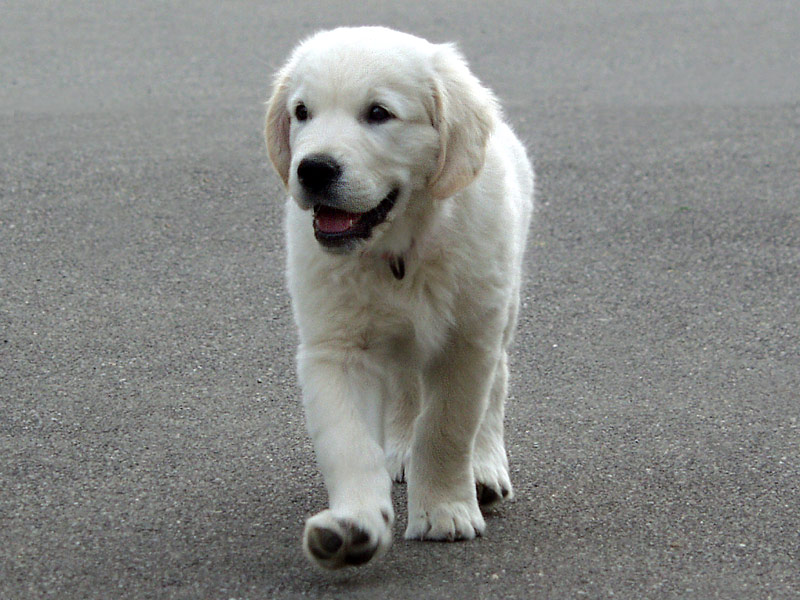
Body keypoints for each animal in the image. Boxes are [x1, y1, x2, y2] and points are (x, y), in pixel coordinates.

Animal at [266, 25, 536, 568]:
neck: (401, 248)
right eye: (302, 112)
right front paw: (353, 525)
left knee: (495, 384)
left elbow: (447, 427)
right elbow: (349, 442)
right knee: (405, 391)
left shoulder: (466, 341)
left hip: (503, 306)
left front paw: (446, 511)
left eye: (378, 113)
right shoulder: (336, 348)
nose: (313, 169)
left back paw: (485, 468)